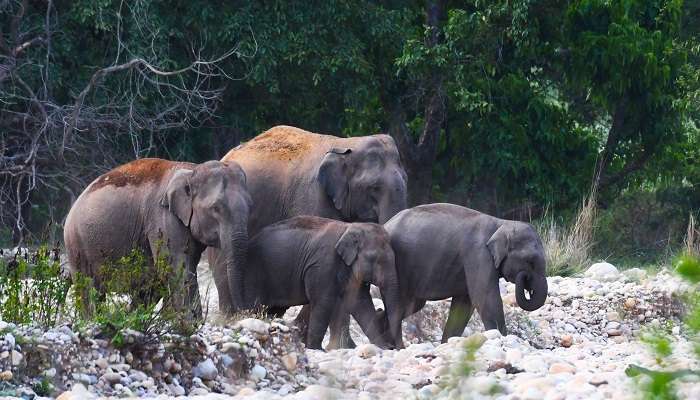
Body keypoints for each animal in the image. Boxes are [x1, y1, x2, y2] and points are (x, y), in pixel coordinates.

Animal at [64, 158, 252, 318]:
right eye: (216, 208)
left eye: (250, 205)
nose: (243, 312)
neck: (191, 171)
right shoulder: (162, 217)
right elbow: (178, 267)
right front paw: (191, 321)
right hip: (76, 243)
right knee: (87, 286)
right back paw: (93, 319)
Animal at [243, 216, 402, 350]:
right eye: (374, 258)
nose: (395, 347)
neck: (349, 227)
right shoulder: (323, 265)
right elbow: (323, 302)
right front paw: (317, 349)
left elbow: (361, 302)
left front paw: (382, 347)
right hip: (254, 274)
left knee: (275, 309)